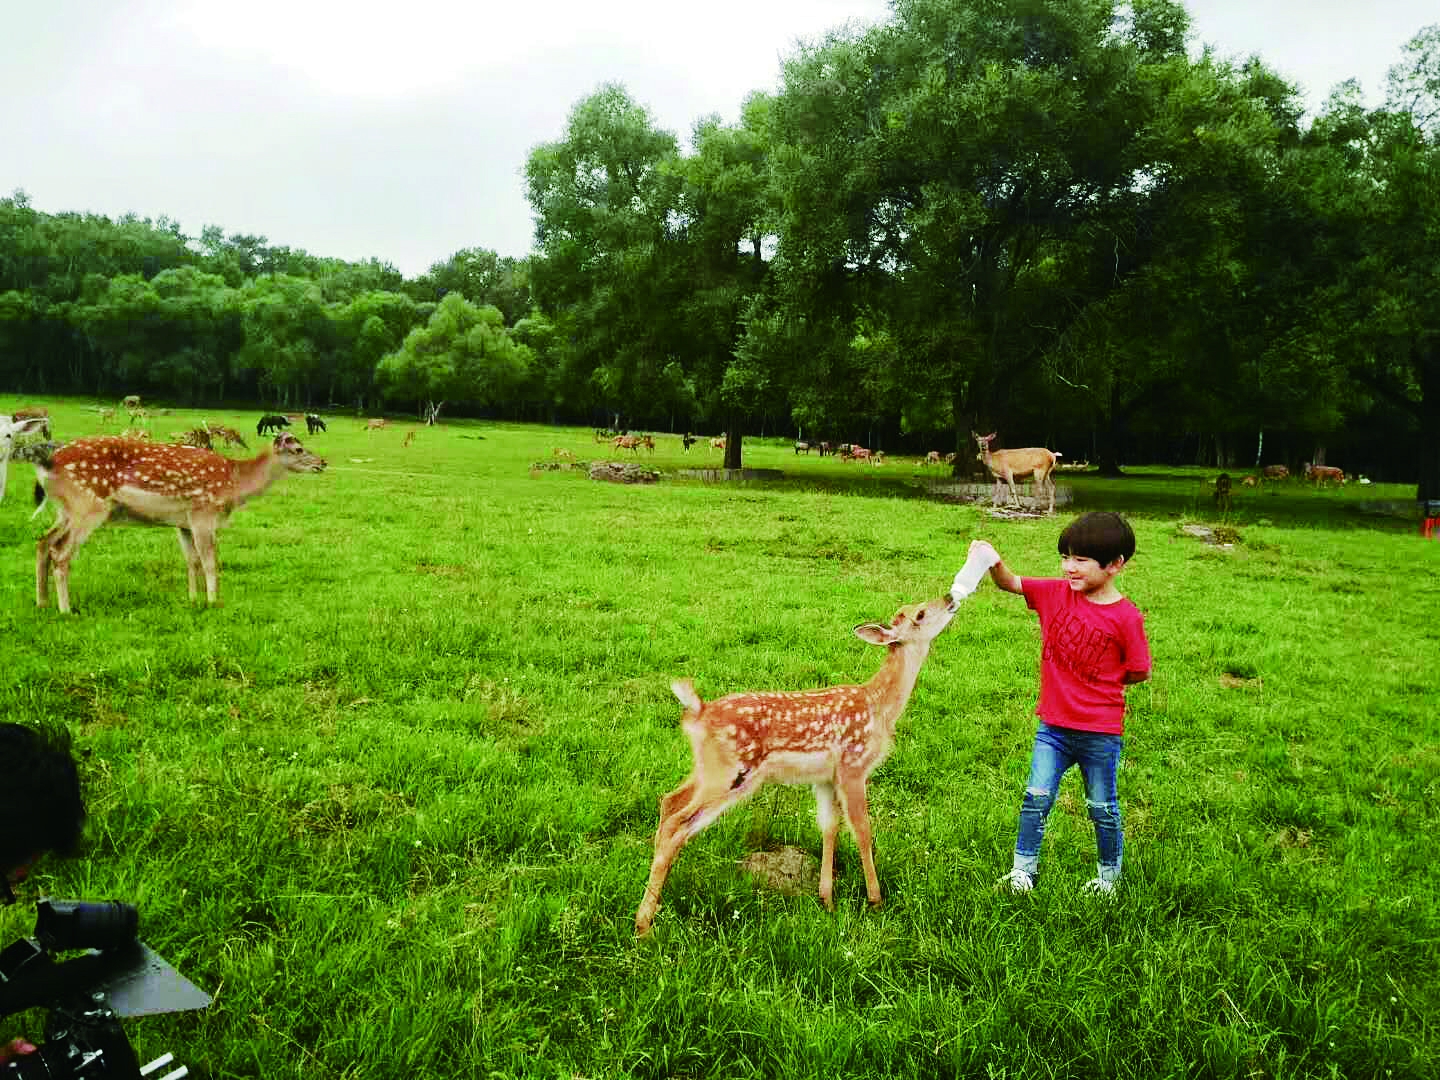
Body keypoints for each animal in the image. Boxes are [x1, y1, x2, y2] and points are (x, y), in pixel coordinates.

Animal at [34, 434, 329, 616]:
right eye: (298, 449)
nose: (323, 462)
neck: (234, 485)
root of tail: (46, 465)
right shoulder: (203, 513)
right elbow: (210, 562)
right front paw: (213, 602)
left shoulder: (183, 523)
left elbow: (192, 561)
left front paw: (193, 599)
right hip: (89, 505)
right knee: (61, 552)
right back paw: (66, 609)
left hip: (65, 510)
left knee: (43, 541)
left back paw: (43, 602)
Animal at [636, 593, 961, 938]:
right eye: (920, 614)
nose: (949, 597)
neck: (879, 708)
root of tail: (698, 711)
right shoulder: (853, 765)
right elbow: (862, 829)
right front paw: (875, 900)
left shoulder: (825, 778)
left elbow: (829, 827)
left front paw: (827, 900)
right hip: (730, 773)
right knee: (677, 823)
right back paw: (643, 925)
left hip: (707, 769)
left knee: (669, 802)